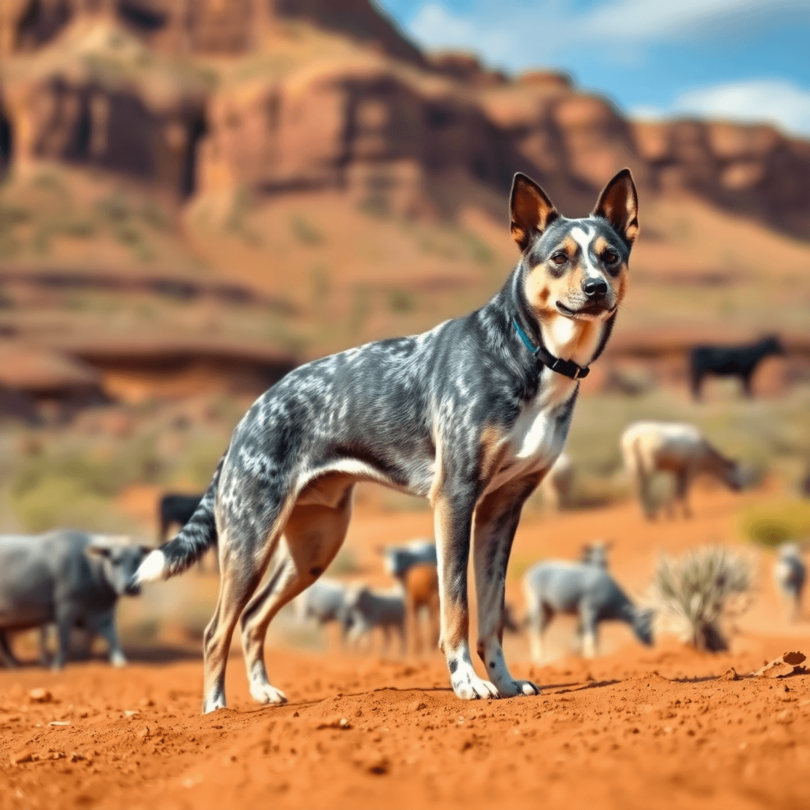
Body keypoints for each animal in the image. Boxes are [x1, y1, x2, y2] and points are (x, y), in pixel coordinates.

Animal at [0, 528, 148, 664]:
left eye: (138, 560)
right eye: (115, 561)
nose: (131, 587)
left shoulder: (101, 613)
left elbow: (112, 638)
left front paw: (120, 662)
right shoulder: (65, 608)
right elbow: (63, 639)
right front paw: (57, 665)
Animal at [134, 167, 636, 712]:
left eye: (610, 256)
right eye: (559, 257)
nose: (596, 288)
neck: (528, 351)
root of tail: (250, 415)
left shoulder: (502, 510)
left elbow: (492, 614)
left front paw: (503, 682)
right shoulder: (455, 498)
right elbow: (457, 607)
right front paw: (466, 682)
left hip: (313, 548)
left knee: (251, 617)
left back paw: (263, 690)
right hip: (251, 538)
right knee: (215, 630)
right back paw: (216, 709)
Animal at [520, 560, 652, 660]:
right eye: (643, 622)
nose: (651, 642)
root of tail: (531, 571)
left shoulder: (597, 620)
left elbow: (596, 637)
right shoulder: (589, 612)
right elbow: (590, 636)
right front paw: (590, 657)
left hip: (549, 611)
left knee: (540, 629)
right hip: (536, 603)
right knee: (535, 628)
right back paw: (538, 657)